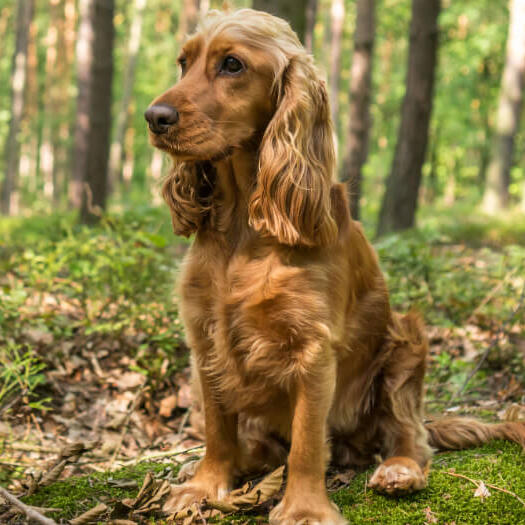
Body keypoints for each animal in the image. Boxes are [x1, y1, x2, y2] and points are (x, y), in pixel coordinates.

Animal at [144, 9, 524, 524]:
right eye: (183, 63)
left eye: (232, 64)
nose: (154, 118)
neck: (245, 223)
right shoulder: (205, 337)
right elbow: (217, 428)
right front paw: (205, 486)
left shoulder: (312, 347)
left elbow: (307, 439)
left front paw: (304, 508)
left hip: (406, 344)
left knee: (411, 436)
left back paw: (400, 470)